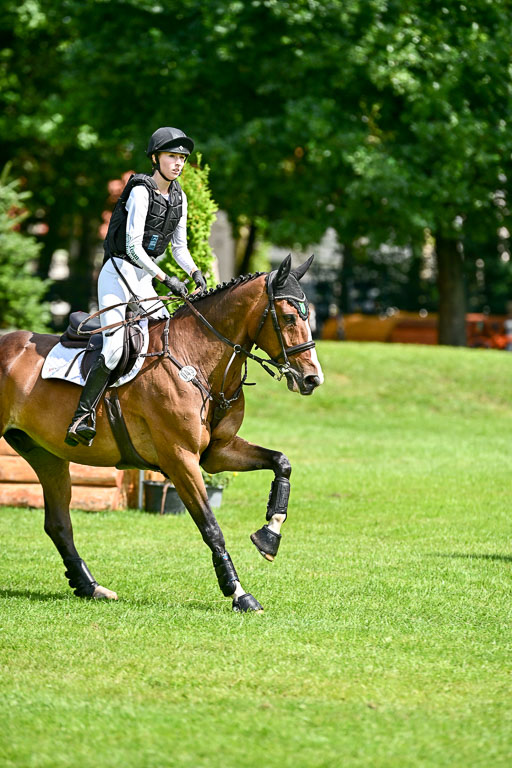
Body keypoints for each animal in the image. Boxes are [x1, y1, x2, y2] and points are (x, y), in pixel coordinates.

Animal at [0, 254, 323, 612]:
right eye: (290, 317)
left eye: (309, 315)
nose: (312, 379)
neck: (197, 360)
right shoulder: (180, 459)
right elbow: (211, 526)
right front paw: (239, 592)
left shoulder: (218, 453)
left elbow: (282, 462)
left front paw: (269, 536)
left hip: (46, 455)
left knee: (58, 524)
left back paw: (91, 587)